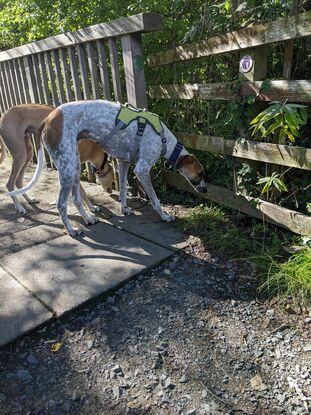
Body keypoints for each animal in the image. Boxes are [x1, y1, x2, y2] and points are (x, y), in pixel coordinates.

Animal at [6, 101, 208, 237]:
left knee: (76, 198)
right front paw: (165, 216)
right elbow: (155, 200)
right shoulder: (142, 169)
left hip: (73, 165)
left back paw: (88, 218)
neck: (164, 139)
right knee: (61, 204)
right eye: (200, 173)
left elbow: (123, 190)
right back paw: (71, 229)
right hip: (67, 169)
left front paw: (125, 208)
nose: (205, 190)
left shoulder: (123, 163)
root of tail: (47, 120)